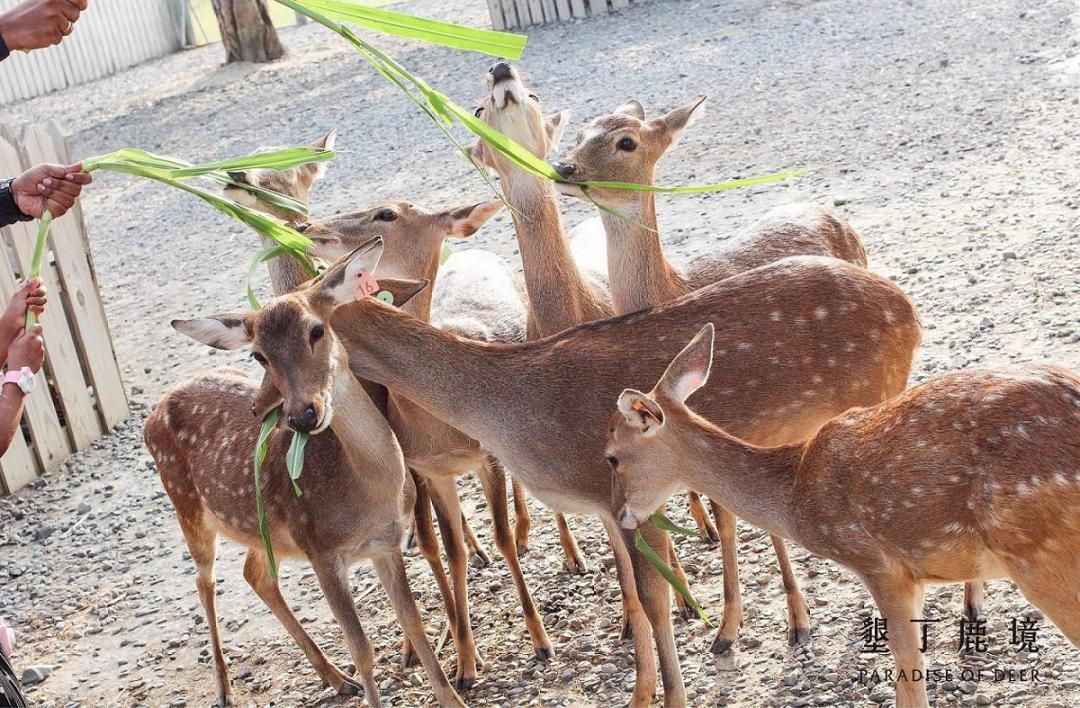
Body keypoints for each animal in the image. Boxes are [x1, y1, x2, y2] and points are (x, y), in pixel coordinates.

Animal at [144, 244, 464, 708]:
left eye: (317, 330)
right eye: (258, 355)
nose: (301, 415)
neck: (367, 491)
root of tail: (152, 414)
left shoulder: (386, 544)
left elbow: (413, 622)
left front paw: (452, 696)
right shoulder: (320, 549)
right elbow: (362, 648)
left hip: (259, 527)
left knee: (254, 573)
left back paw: (335, 678)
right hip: (186, 506)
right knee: (205, 583)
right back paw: (225, 689)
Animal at [304, 201, 557, 690]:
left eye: (387, 213)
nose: (307, 226)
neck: (436, 426)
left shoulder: (487, 455)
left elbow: (501, 539)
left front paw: (540, 641)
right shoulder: (429, 469)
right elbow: (447, 551)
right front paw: (464, 663)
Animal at [609, 321, 1080, 708]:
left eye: (611, 457)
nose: (623, 515)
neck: (797, 493)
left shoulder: (879, 564)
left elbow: (910, 679)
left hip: (1041, 555)